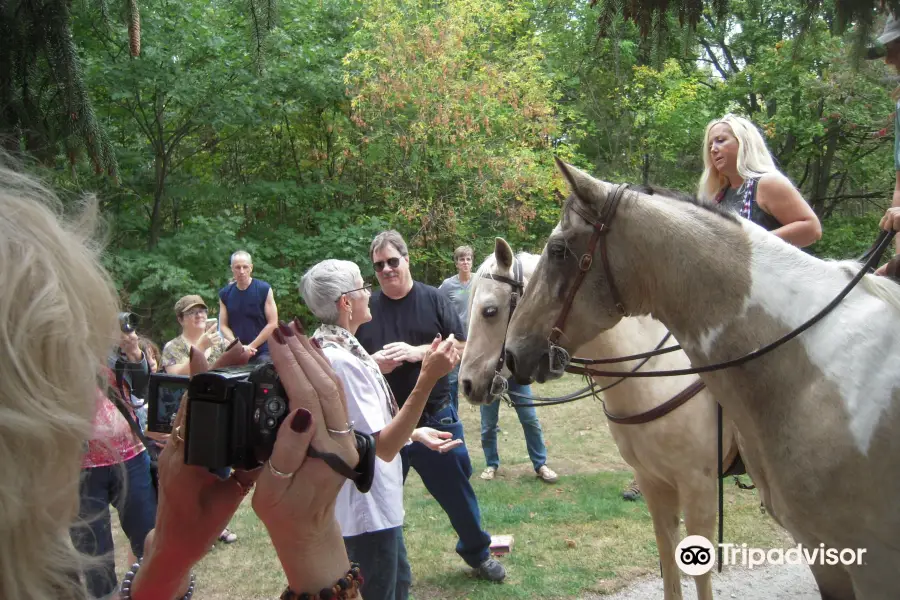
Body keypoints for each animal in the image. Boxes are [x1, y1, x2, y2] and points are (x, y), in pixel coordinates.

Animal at [460, 234, 740, 600]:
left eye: (490, 311)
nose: (466, 383)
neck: (657, 372)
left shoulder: (699, 487)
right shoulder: (654, 484)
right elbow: (668, 561)